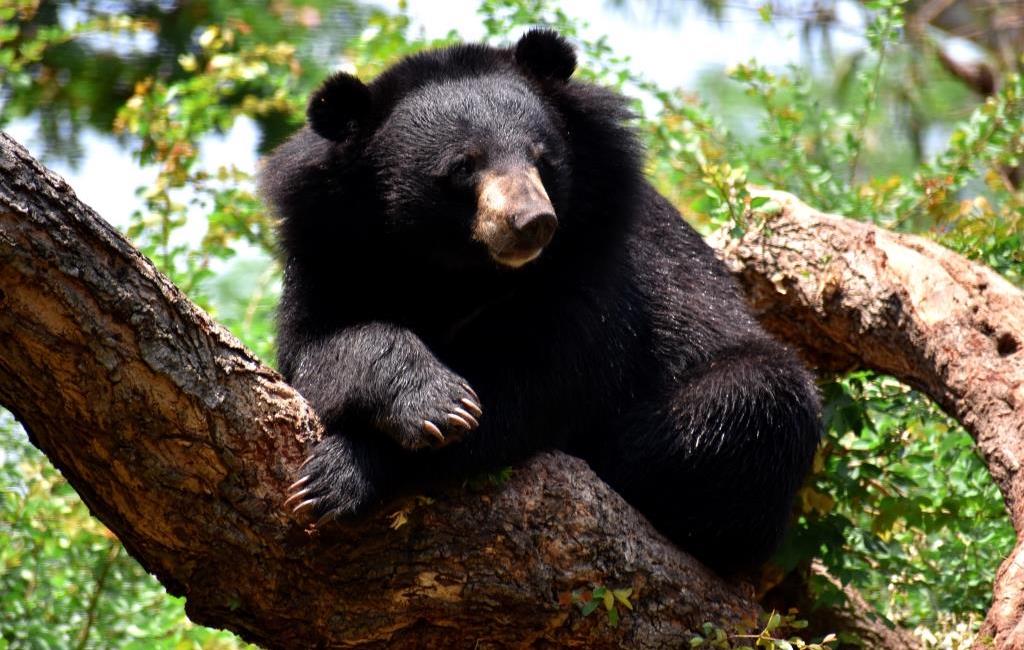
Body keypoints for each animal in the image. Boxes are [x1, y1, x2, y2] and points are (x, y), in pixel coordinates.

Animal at [260, 29, 819, 573]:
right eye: (463, 167)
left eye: (541, 159)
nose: (532, 222)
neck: (457, 269)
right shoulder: (329, 251)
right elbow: (319, 347)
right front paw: (432, 402)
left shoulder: (594, 261)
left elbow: (537, 381)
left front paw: (347, 471)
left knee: (754, 398)